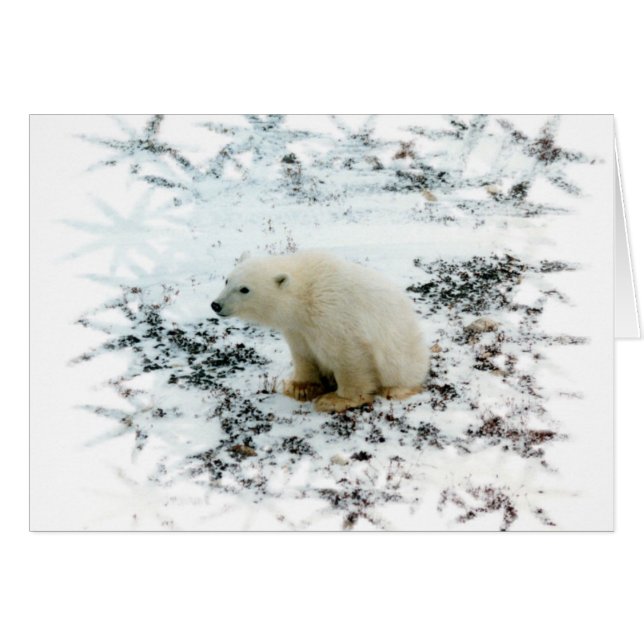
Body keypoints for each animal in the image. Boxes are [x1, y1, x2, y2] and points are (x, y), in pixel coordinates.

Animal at [211, 251, 428, 412]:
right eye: (227, 280)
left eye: (244, 289)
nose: (216, 305)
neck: (305, 295)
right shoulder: (297, 328)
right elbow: (303, 353)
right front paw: (300, 387)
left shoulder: (333, 315)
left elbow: (350, 357)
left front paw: (335, 400)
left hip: (402, 357)